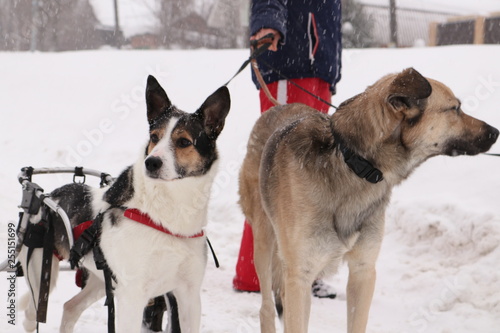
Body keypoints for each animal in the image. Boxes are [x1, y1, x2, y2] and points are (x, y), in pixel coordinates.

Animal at [19, 76, 230, 332]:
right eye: (154, 137)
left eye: (183, 142)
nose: (151, 162)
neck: (169, 216)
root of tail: (50, 195)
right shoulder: (133, 296)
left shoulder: (188, 295)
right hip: (41, 273)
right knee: (31, 314)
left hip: (102, 281)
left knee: (70, 307)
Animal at [237, 68, 496, 332]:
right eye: (455, 109)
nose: (495, 132)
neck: (352, 162)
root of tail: (277, 107)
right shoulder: (300, 274)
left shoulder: (363, 271)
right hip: (264, 242)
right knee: (267, 307)